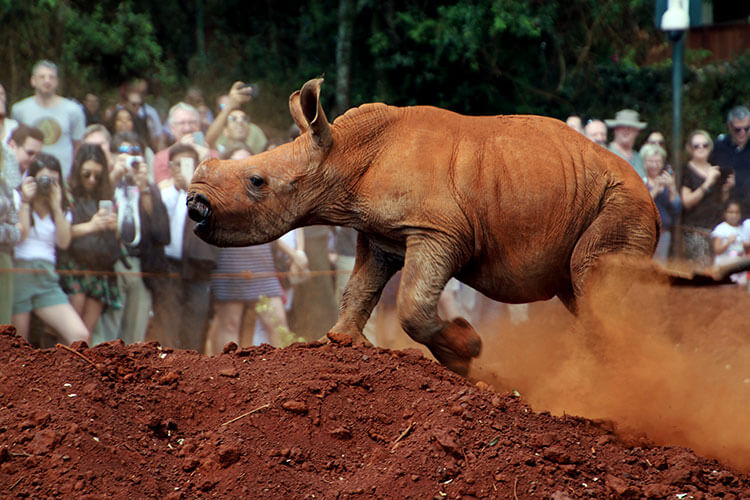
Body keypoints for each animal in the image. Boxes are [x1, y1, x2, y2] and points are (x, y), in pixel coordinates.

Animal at [189, 77, 664, 376]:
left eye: (256, 182)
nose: (194, 204)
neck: (345, 152)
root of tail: (654, 199)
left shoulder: (439, 231)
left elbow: (412, 303)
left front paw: (467, 351)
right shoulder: (380, 234)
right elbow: (359, 288)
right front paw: (339, 342)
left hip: (623, 202)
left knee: (590, 279)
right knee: (580, 289)